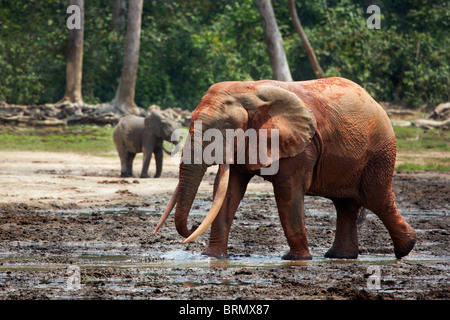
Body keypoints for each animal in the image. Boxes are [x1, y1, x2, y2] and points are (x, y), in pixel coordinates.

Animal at [153, 77, 416, 260]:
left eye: (226, 126)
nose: (192, 227)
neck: (249, 90)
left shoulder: (300, 145)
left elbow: (287, 191)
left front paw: (295, 259)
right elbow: (228, 191)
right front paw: (211, 257)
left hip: (380, 151)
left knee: (377, 199)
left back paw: (406, 249)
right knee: (346, 205)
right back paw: (340, 256)